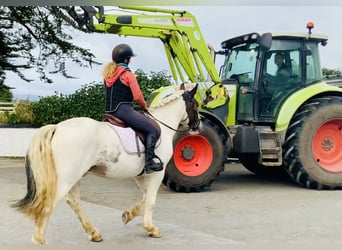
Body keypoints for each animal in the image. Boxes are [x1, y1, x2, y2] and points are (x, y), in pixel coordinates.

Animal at [13, 85, 199, 243]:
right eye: (195, 105)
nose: (197, 126)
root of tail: (58, 127)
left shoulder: (140, 175)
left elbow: (145, 198)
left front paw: (128, 215)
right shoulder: (157, 173)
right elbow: (150, 200)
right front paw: (151, 229)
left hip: (75, 176)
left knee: (74, 202)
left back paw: (93, 233)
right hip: (67, 178)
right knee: (52, 202)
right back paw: (39, 239)